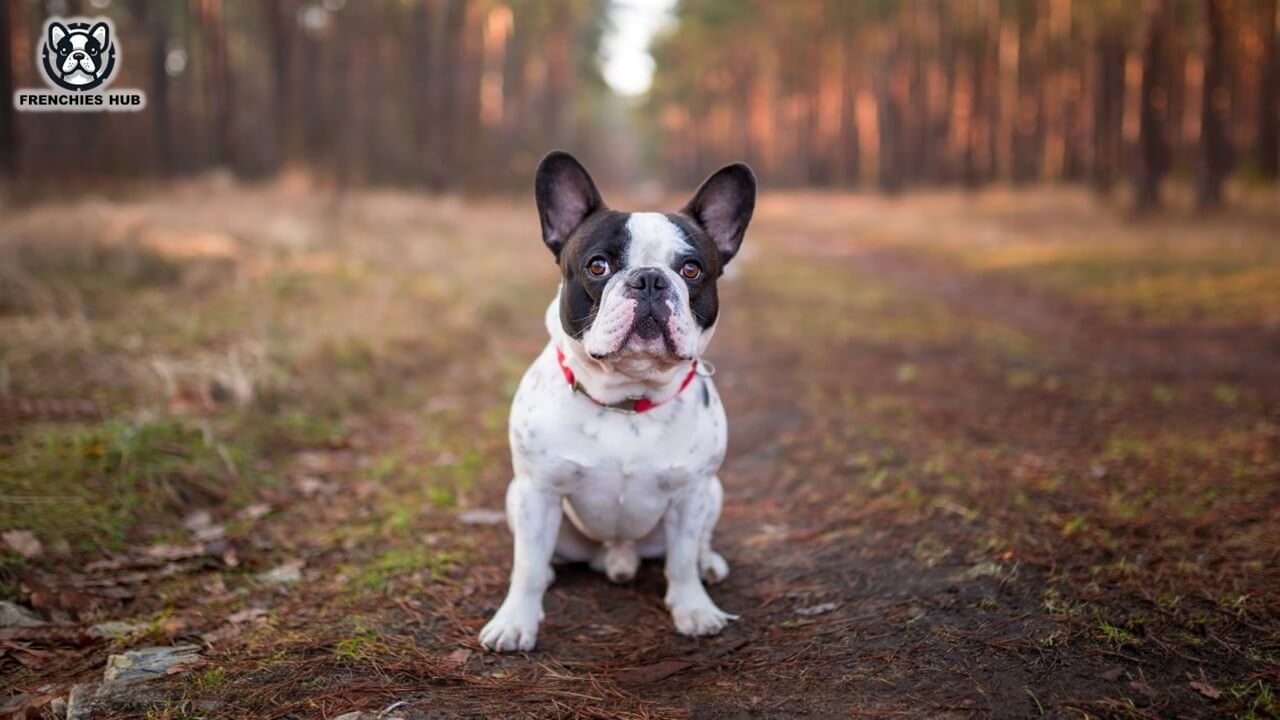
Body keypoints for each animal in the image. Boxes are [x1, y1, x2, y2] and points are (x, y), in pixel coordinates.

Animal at [481, 151, 757, 650]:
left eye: (691, 270)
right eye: (597, 266)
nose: (649, 280)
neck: (628, 399)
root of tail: (619, 554)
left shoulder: (690, 496)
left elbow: (681, 561)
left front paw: (694, 608)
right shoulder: (537, 491)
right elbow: (527, 566)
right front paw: (515, 621)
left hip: (713, 492)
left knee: (697, 545)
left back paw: (708, 564)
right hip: (520, 499)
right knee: (541, 557)